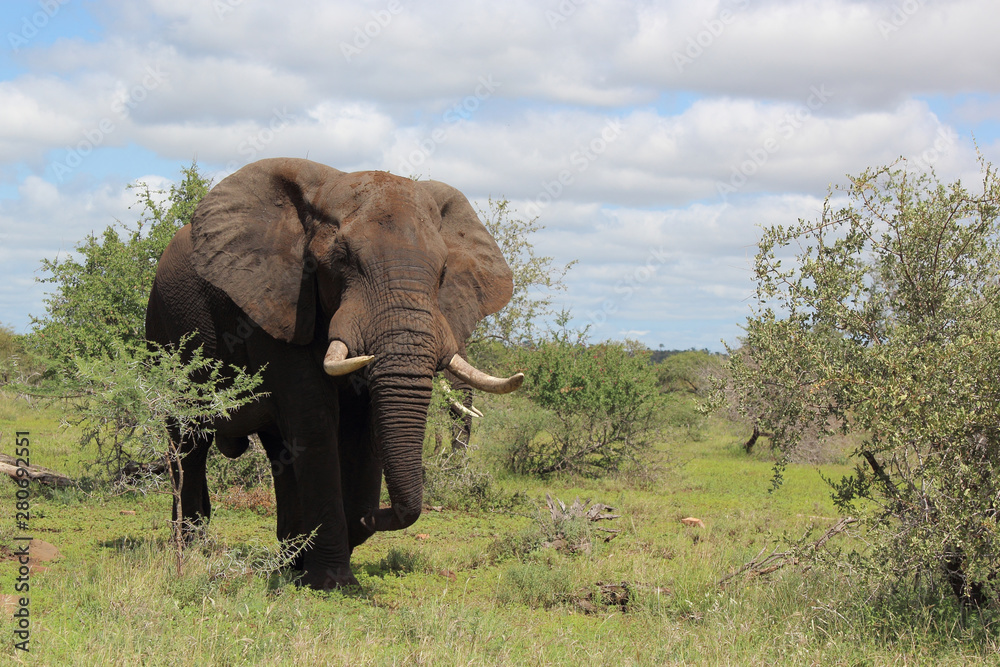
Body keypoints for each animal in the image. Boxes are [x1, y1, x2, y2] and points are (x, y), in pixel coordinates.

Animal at [145, 158, 523, 589]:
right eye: (341, 260)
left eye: (443, 270)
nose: (377, 513)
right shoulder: (275, 304)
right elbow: (315, 418)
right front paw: (332, 581)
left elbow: (361, 424)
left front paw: (335, 546)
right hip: (162, 330)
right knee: (187, 442)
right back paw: (193, 549)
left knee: (276, 449)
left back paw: (288, 559)